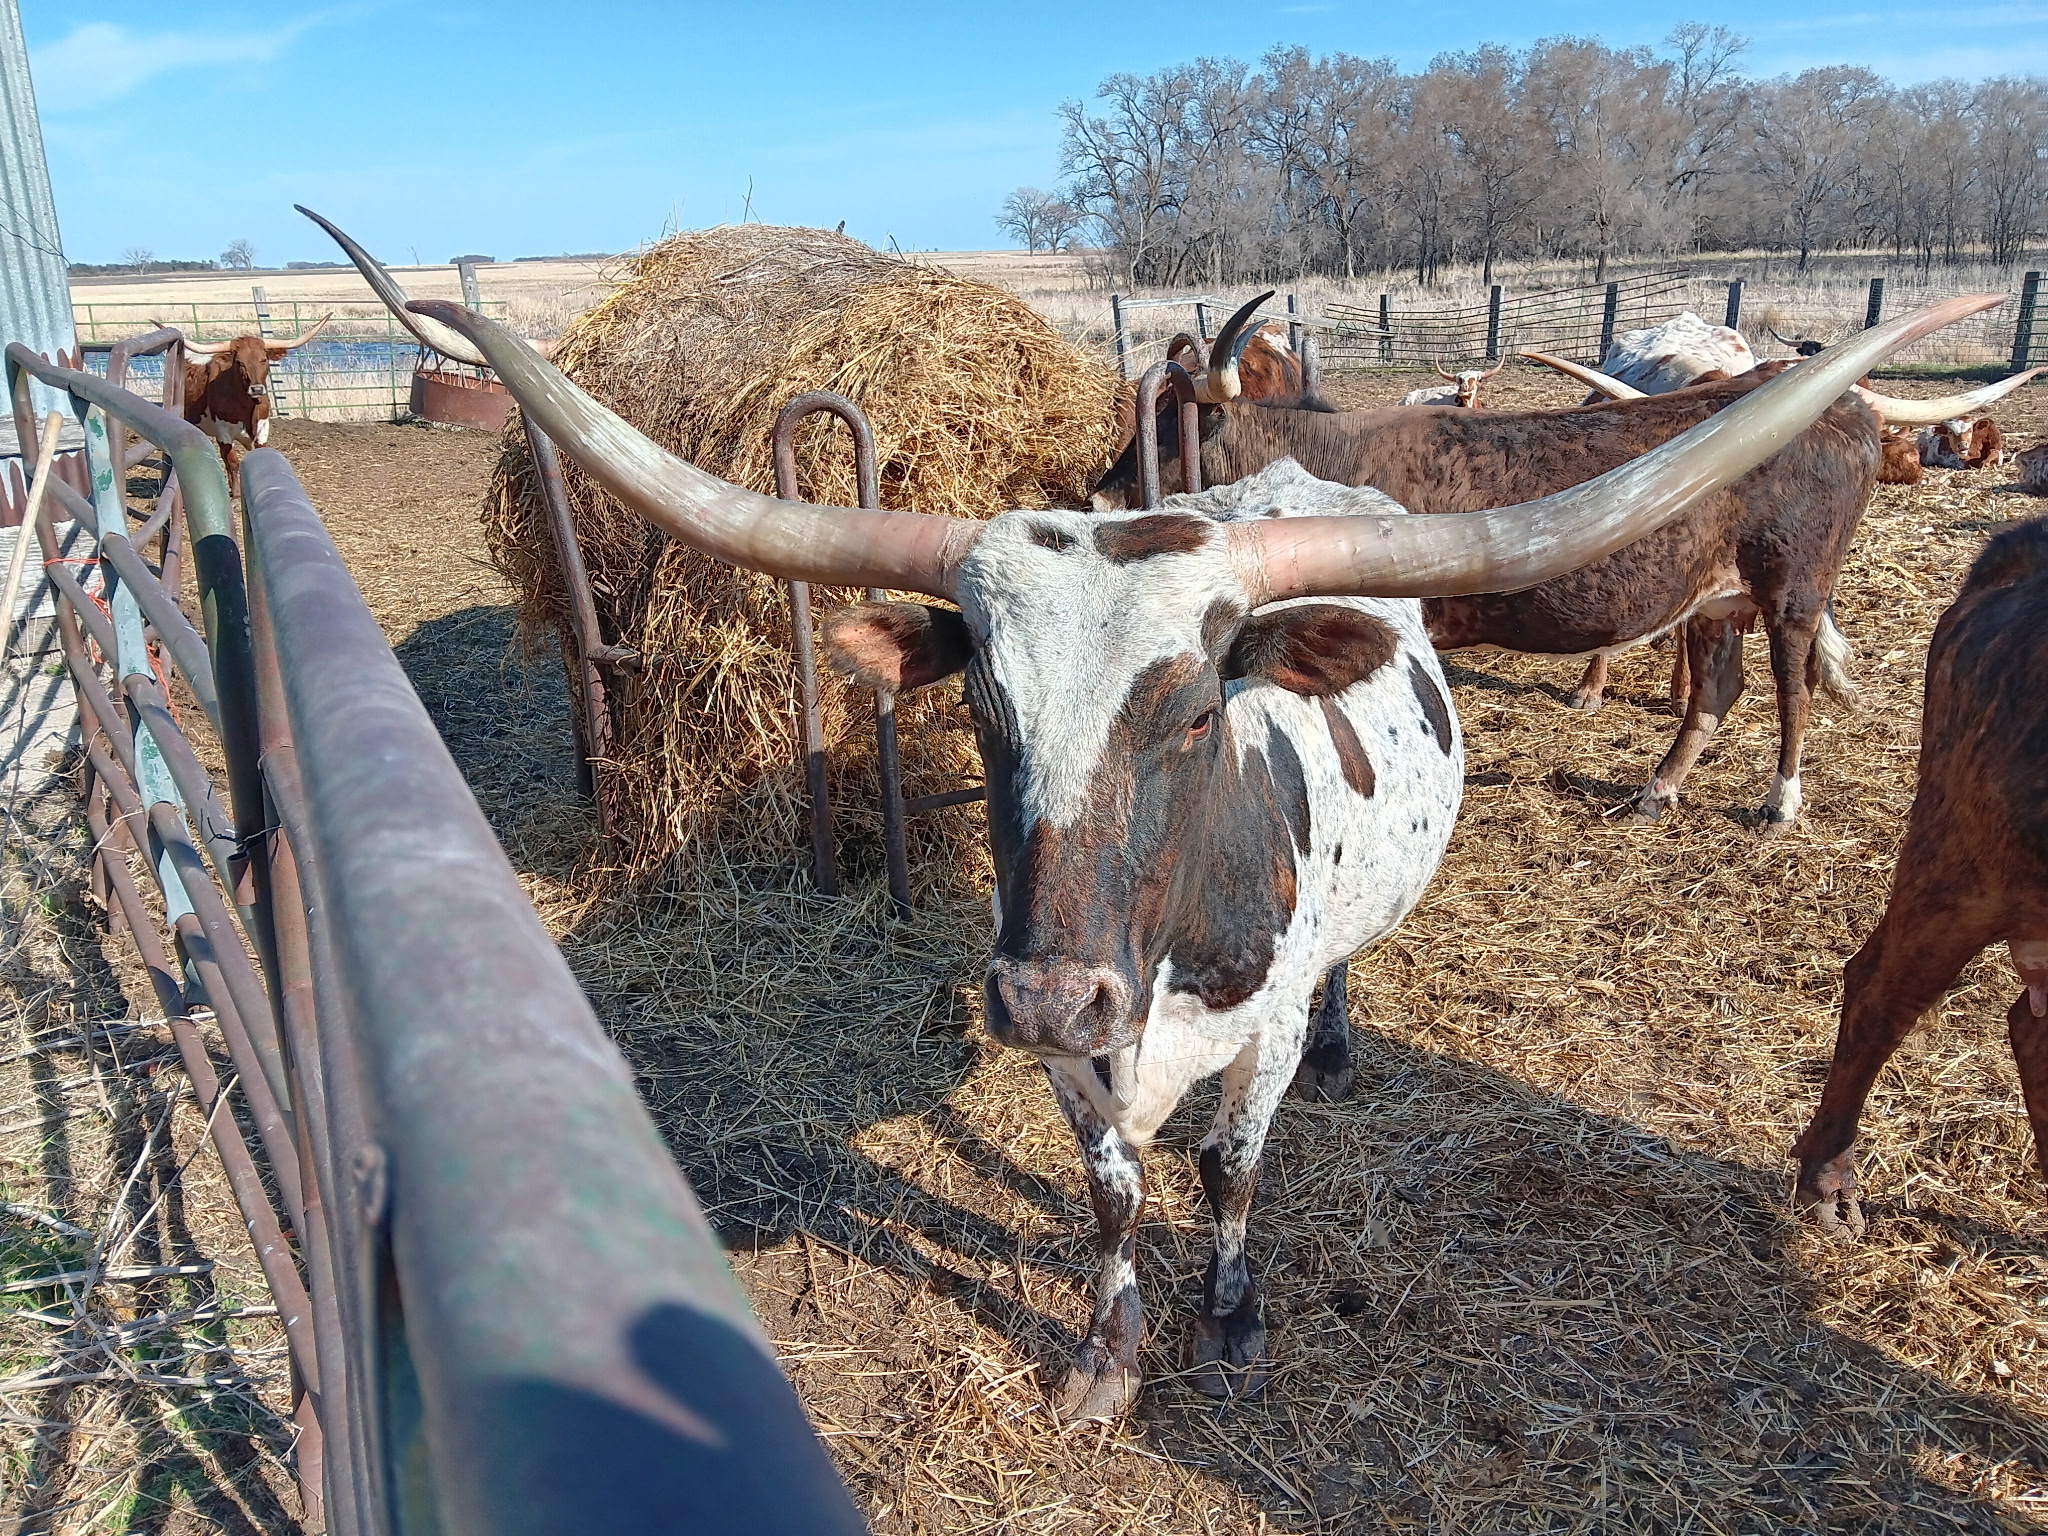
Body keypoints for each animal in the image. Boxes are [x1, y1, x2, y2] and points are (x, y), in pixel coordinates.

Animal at [157, 319, 331, 477]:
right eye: (240, 362)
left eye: (264, 359)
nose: (257, 389)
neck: (248, 409)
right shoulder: (223, 434)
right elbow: (233, 463)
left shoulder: (263, 429)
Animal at [371, 262, 1962, 1422]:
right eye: (984, 706)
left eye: (1198, 710)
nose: (1043, 993)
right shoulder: (1076, 1051)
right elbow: (1114, 1192)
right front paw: (1108, 1352)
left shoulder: (1247, 1036)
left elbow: (1229, 1176)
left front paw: (1235, 1319)